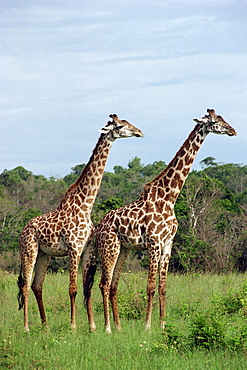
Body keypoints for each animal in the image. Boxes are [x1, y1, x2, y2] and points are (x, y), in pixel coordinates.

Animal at [16, 114, 143, 330]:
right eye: (120, 126)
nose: (139, 132)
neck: (85, 206)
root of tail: (23, 231)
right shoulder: (73, 248)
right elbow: (73, 288)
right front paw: (73, 326)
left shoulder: (87, 249)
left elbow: (86, 288)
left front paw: (92, 327)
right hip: (29, 249)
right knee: (25, 284)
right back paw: (26, 327)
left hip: (44, 253)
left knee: (36, 285)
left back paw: (45, 326)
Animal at [84, 107, 236, 332]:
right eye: (215, 121)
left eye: (222, 118)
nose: (233, 130)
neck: (169, 197)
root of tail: (99, 224)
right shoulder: (154, 243)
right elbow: (150, 286)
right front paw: (147, 325)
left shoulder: (167, 244)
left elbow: (163, 286)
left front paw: (163, 324)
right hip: (108, 248)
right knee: (104, 283)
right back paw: (108, 328)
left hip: (124, 249)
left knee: (113, 285)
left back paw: (119, 327)